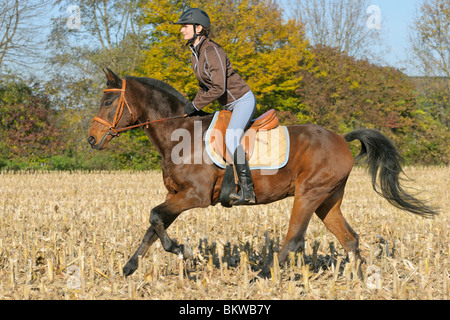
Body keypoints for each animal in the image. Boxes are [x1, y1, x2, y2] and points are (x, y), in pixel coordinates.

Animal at [87, 69, 436, 278]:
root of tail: (341, 138)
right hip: (328, 200)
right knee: (349, 238)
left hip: (308, 194)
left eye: (109, 101)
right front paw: (129, 267)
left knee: (294, 240)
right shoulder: (176, 195)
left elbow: (155, 217)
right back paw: (359, 279)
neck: (179, 134)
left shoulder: (194, 196)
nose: (91, 139)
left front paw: (184, 252)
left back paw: (263, 275)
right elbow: (153, 226)